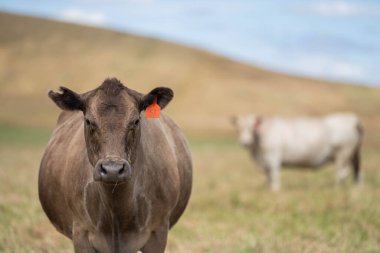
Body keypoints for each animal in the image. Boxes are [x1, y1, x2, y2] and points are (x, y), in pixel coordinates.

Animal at [232, 113, 362, 192]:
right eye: (238, 128)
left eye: (251, 128)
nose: (244, 143)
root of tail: (353, 119)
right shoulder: (266, 163)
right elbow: (268, 177)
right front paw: (269, 189)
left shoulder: (273, 158)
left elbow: (274, 175)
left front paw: (275, 190)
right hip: (352, 155)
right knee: (357, 173)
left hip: (343, 153)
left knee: (342, 173)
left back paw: (336, 189)